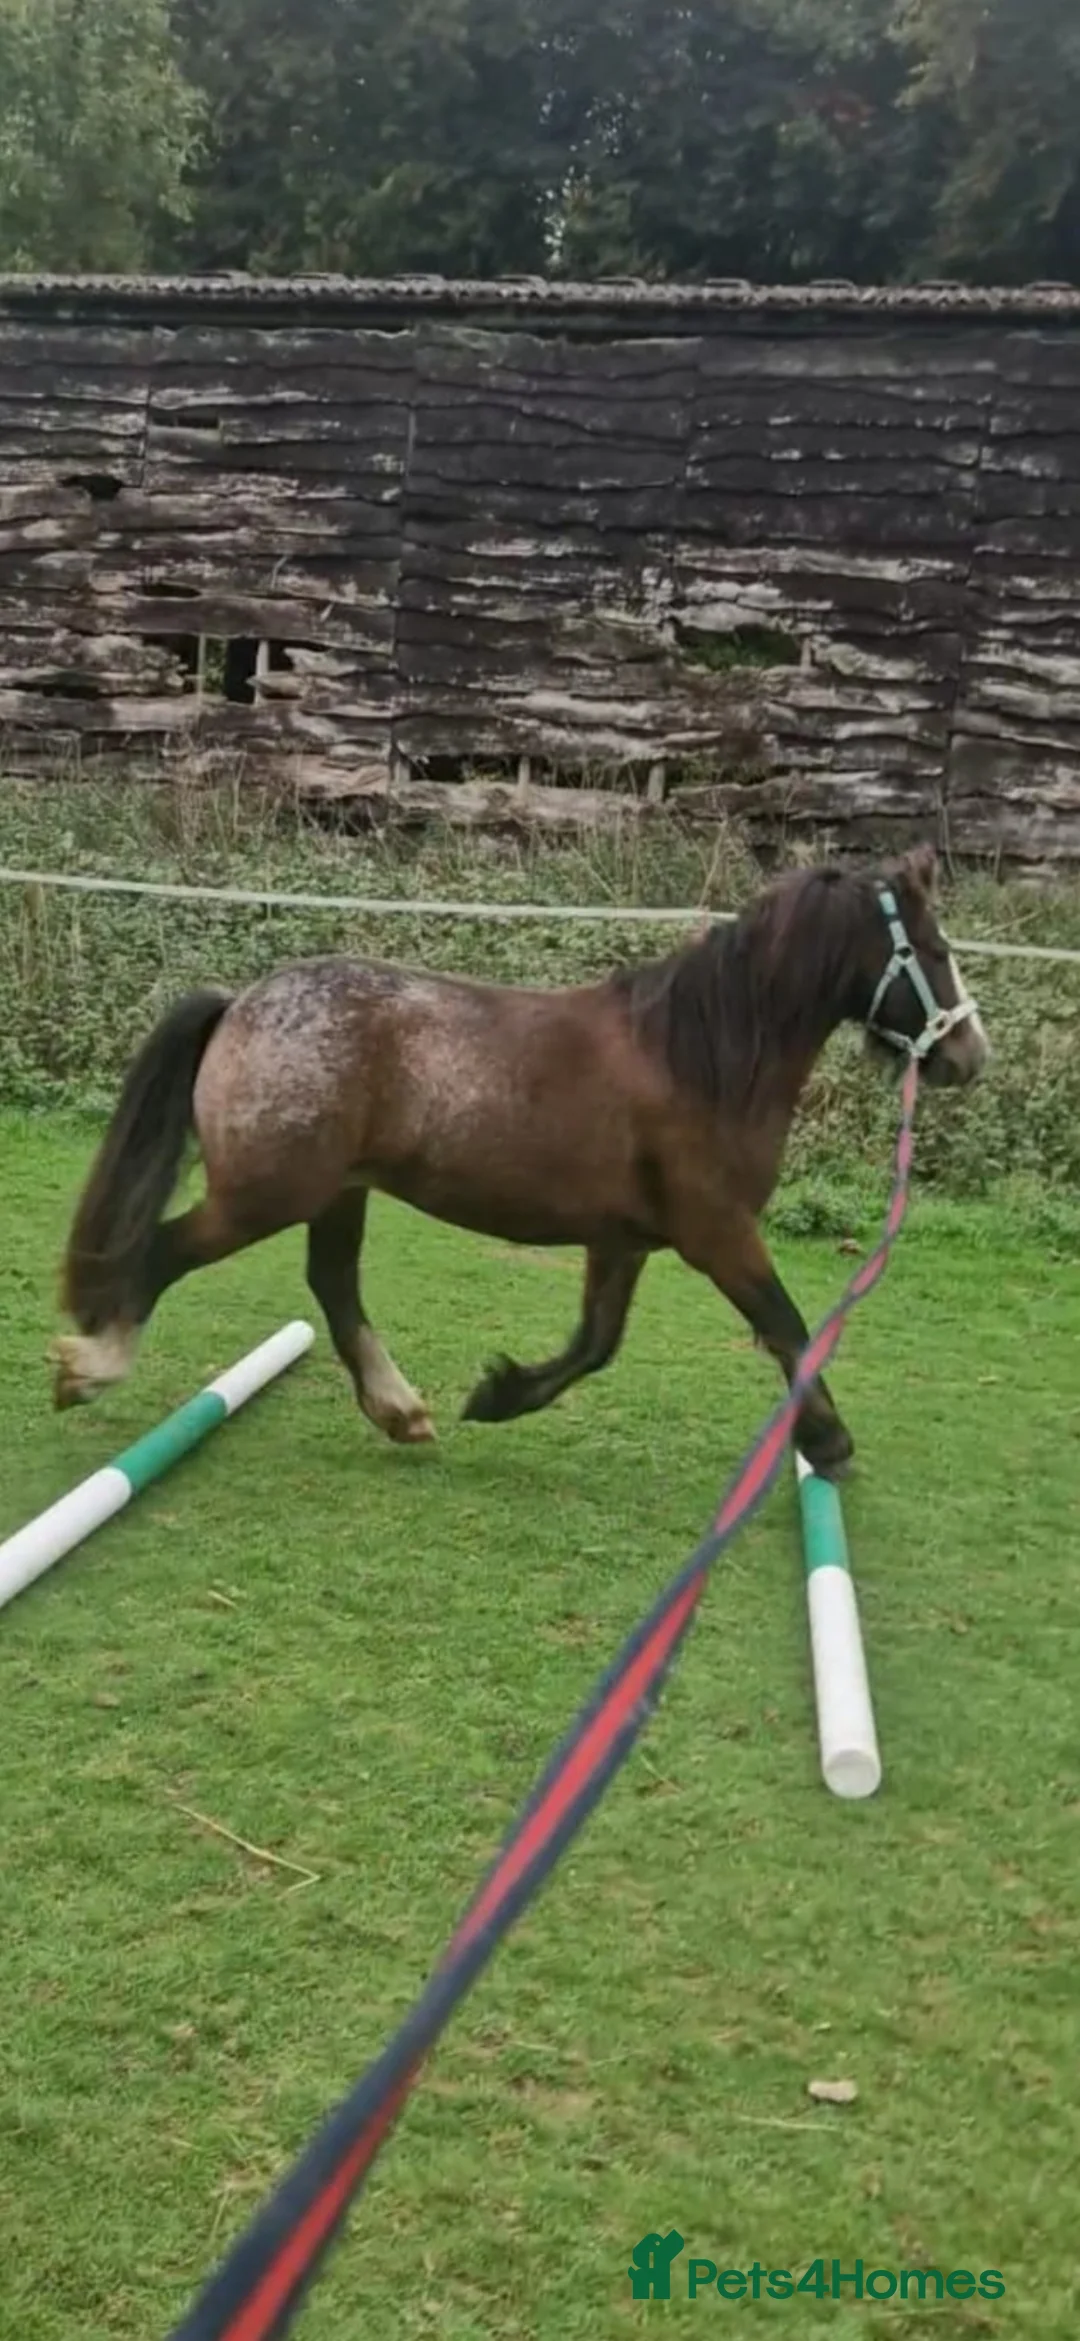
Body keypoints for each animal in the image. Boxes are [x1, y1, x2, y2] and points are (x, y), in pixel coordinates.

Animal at [52, 843, 987, 1478]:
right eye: (937, 952)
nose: (969, 1055)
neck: (699, 1060)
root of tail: (241, 1002)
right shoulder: (717, 1232)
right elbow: (789, 1325)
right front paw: (830, 1441)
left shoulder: (625, 1240)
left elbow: (594, 1344)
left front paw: (499, 1395)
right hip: (265, 1193)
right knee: (163, 1250)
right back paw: (92, 1366)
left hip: (337, 1191)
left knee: (334, 1283)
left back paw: (401, 1412)